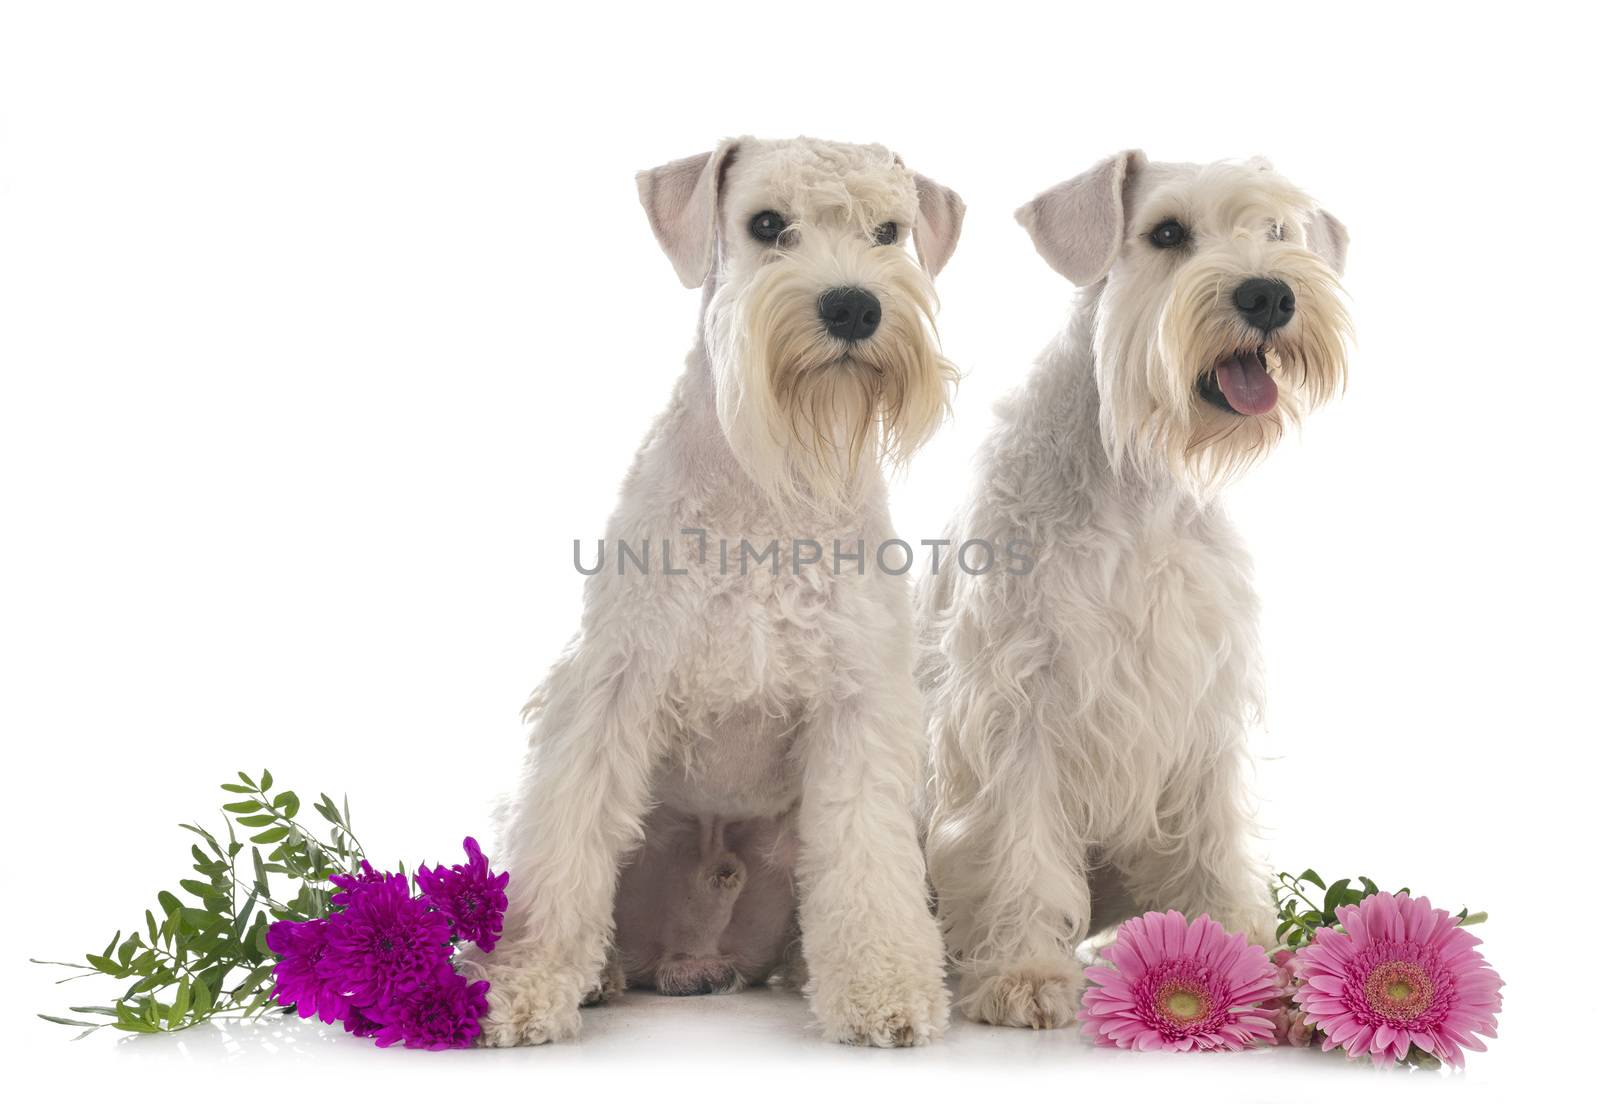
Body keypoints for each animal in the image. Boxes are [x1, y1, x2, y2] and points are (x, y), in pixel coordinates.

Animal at [473, 133, 960, 1043]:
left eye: (889, 230)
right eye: (766, 224)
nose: (853, 308)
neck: (771, 485)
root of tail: (692, 956)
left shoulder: (858, 703)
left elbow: (868, 864)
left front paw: (883, 989)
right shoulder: (608, 688)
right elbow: (564, 856)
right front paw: (522, 987)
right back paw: (599, 978)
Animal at [915, 150, 1350, 1030]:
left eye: (1277, 230)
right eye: (1167, 234)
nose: (1268, 295)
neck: (1134, 481)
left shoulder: (1204, 703)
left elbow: (1214, 843)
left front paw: (1252, 963)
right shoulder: (1015, 702)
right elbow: (1018, 846)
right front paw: (1022, 972)